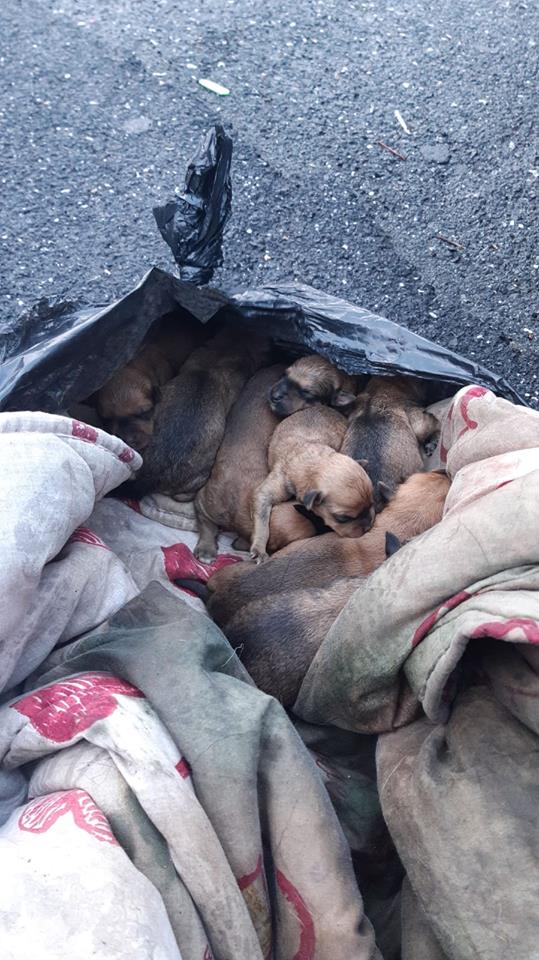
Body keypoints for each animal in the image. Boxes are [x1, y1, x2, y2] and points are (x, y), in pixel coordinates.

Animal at [249, 404, 374, 561]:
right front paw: (259, 548)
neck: (313, 463)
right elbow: (262, 522)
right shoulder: (265, 493)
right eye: (342, 518)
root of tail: (322, 406)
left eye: (372, 504)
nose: (369, 527)